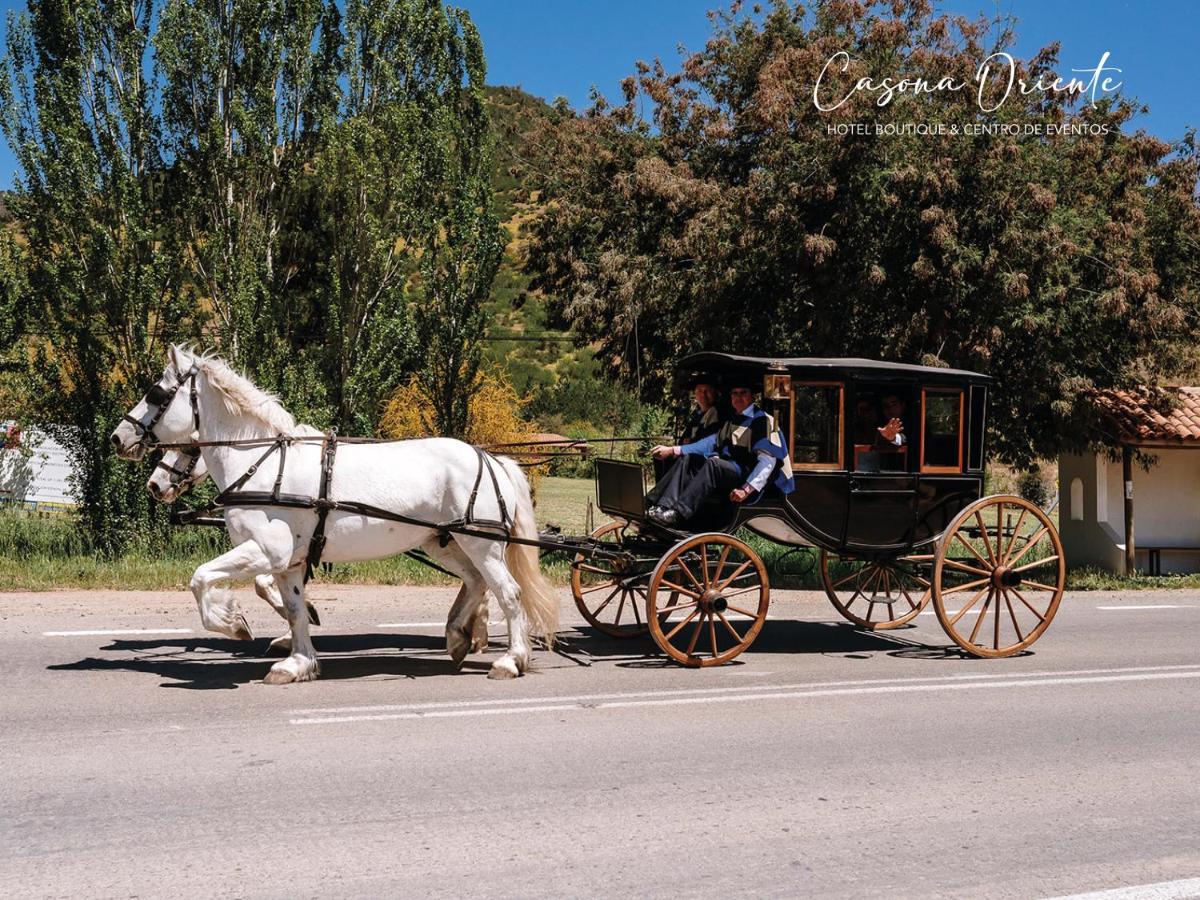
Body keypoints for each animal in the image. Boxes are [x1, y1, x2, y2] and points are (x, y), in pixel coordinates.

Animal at [147, 448, 489, 657]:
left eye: (191, 451)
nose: (155, 484)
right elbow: (274, 589)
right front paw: (294, 628)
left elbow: (267, 586)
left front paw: (298, 622)